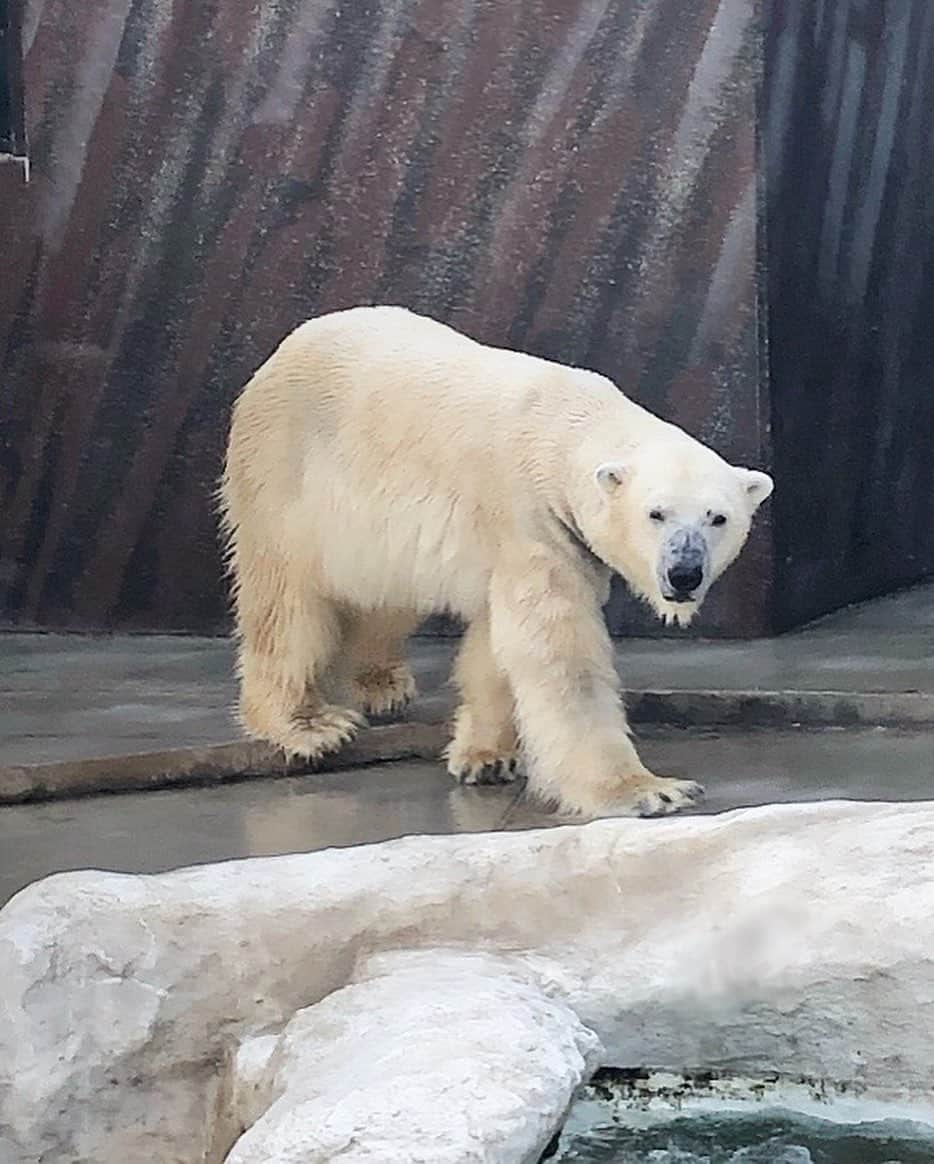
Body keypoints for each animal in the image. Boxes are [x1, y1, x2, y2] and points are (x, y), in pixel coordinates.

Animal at [220, 309, 773, 819]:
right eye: (655, 513)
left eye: (718, 517)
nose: (684, 573)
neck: (564, 431)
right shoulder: (530, 518)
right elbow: (559, 653)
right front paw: (645, 790)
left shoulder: (552, 541)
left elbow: (497, 647)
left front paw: (486, 756)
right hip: (288, 476)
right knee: (287, 605)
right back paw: (309, 724)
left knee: (385, 596)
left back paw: (381, 682)